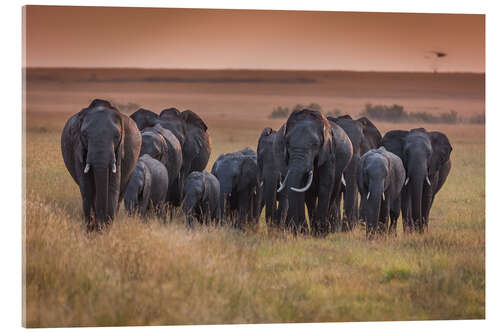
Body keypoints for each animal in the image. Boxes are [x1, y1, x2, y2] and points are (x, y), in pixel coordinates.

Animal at [62, 97, 142, 230]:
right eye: (84, 135)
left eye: (117, 136)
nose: (100, 224)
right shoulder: (77, 147)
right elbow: (86, 186)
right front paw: (90, 227)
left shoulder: (119, 151)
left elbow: (113, 185)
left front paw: (105, 227)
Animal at [278, 107, 336, 235]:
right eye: (287, 143)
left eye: (315, 144)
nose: (297, 229)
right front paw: (302, 232)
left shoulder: (328, 155)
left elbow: (325, 186)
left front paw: (320, 233)